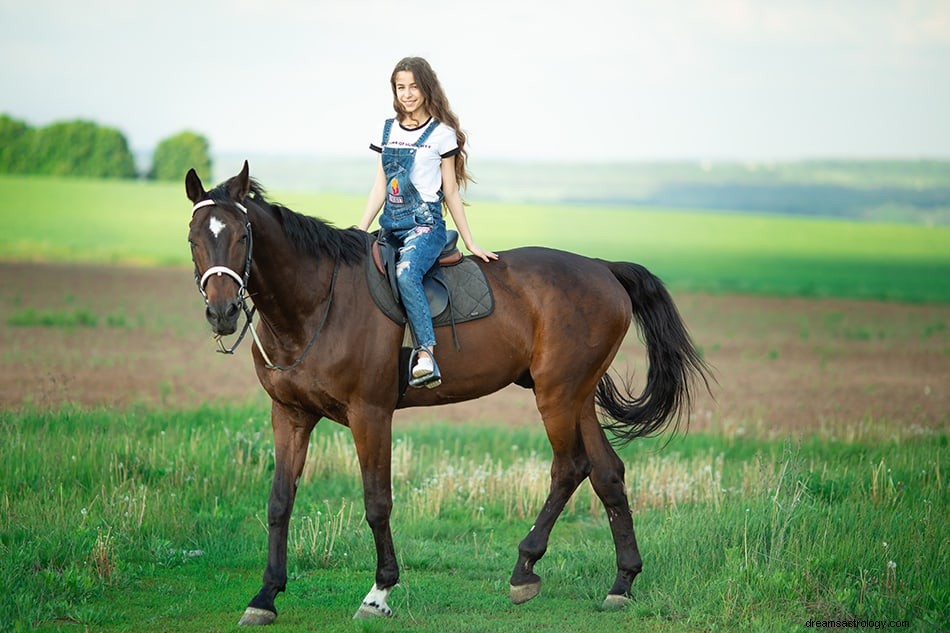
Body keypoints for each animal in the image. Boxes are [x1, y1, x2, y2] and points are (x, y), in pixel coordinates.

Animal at [186, 160, 712, 624]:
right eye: (194, 239)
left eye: (241, 236)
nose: (222, 312)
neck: (316, 305)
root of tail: (603, 268)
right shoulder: (290, 414)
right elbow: (279, 503)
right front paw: (265, 596)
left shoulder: (370, 414)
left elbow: (377, 502)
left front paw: (379, 593)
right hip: (578, 396)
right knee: (607, 474)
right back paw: (622, 583)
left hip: (557, 395)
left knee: (570, 467)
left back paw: (525, 569)